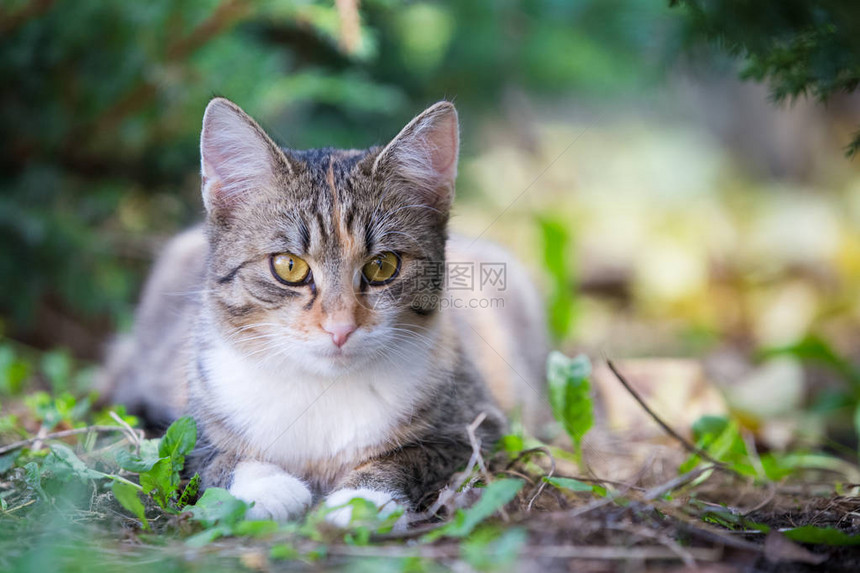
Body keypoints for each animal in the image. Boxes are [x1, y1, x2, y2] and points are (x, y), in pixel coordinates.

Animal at [104, 97, 548, 524]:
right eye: (288, 266)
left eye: (383, 266)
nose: (340, 328)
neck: (323, 389)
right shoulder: (194, 420)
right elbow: (210, 455)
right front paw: (267, 485)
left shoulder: (475, 425)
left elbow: (415, 456)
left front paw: (361, 499)